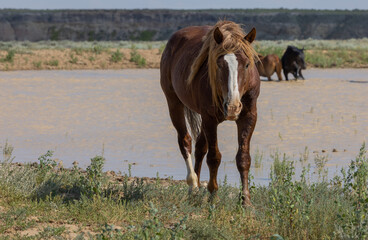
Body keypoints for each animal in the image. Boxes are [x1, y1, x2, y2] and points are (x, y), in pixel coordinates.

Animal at [160, 20, 260, 205]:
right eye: (219, 64)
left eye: (247, 64)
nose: (233, 107)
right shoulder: (209, 119)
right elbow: (214, 157)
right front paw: (213, 195)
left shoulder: (249, 116)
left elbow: (243, 158)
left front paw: (245, 201)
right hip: (174, 103)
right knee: (185, 141)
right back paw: (193, 185)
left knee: (200, 148)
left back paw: (197, 189)